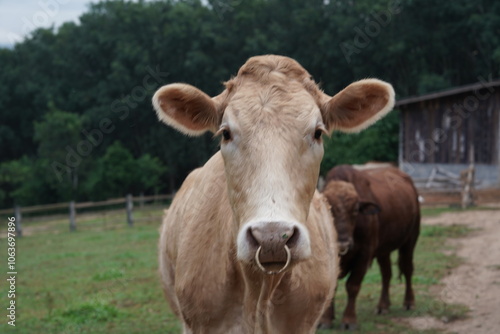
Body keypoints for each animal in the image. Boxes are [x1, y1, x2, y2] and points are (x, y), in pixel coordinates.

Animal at [318, 164, 420, 328]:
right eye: (329, 209)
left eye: (355, 210)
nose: (343, 242)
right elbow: (332, 287)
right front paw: (326, 319)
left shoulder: (364, 255)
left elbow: (353, 286)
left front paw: (349, 320)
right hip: (384, 250)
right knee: (386, 274)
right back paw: (383, 306)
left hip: (410, 241)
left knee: (407, 269)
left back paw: (409, 302)